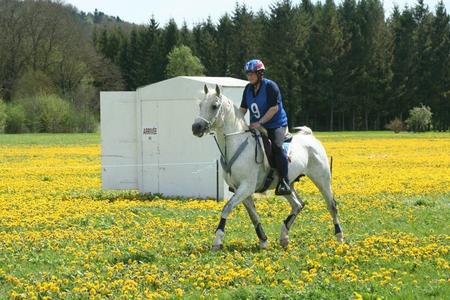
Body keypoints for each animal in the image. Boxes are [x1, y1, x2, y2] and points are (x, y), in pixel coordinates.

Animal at [192, 84, 342, 251]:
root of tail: (311, 137)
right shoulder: (240, 189)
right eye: (200, 105)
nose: (196, 127)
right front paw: (263, 240)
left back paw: (339, 237)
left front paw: (217, 241)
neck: (237, 143)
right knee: (298, 205)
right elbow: (253, 215)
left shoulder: (246, 187)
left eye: (214, 106)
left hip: (322, 179)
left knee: (331, 205)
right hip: (286, 185)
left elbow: (227, 207)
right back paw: (284, 237)